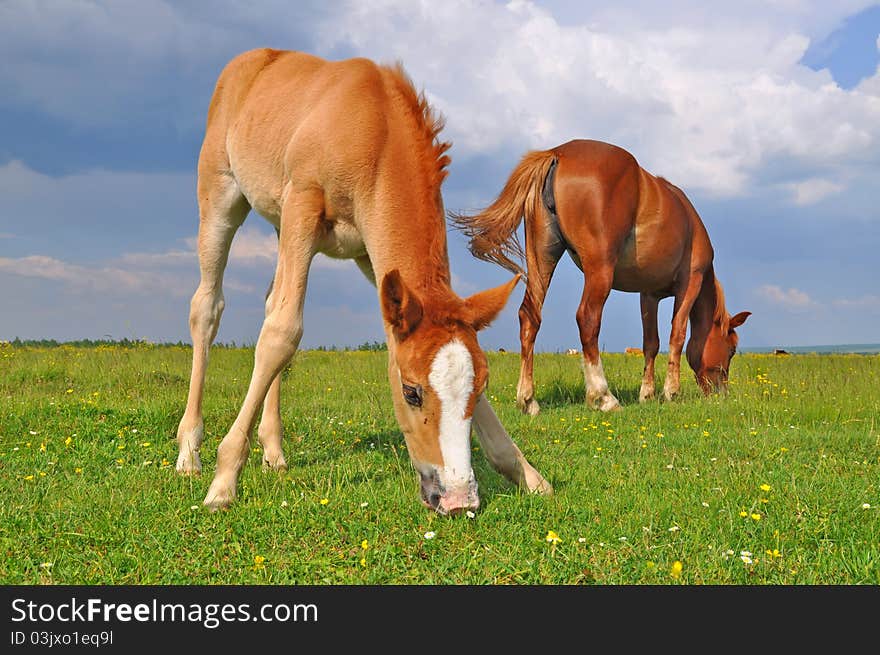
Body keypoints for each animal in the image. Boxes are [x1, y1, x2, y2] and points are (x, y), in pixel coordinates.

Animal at [174, 48, 552, 516]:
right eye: (411, 393)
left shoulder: (374, 259)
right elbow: (283, 332)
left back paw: (274, 450)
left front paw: (527, 473)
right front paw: (224, 480)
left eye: (480, 387)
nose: (456, 498)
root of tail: (252, 60)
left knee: (269, 301)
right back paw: (189, 451)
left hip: (282, 224)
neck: (375, 132)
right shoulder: (303, 202)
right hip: (223, 195)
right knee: (208, 306)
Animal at [454, 140, 748, 416]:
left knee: (529, 317)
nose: (721, 393)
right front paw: (670, 392)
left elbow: (651, 343)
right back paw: (603, 396)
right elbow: (677, 334)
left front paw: (647, 394)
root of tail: (558, 153)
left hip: (542, 258)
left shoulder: (648, 295)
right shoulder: (690, 284)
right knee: (587, 319)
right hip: (599, 270)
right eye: (732, 349)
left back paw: (528, 400)